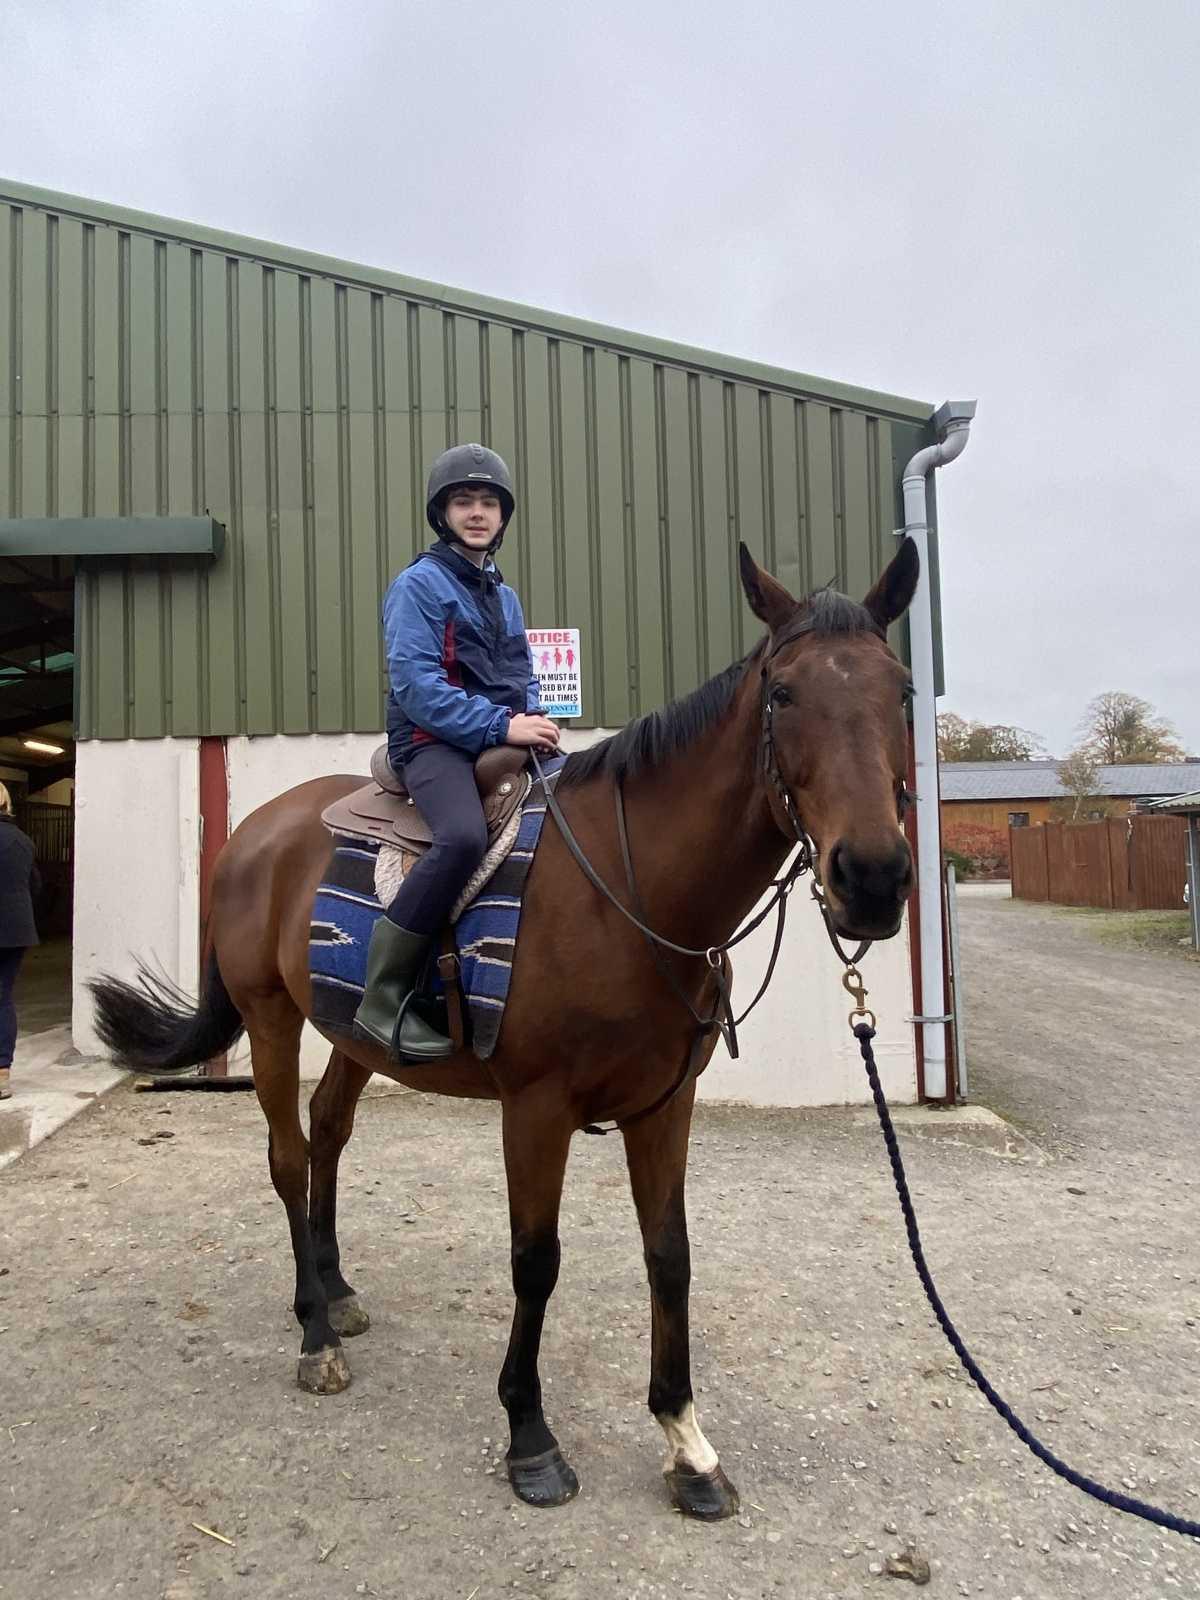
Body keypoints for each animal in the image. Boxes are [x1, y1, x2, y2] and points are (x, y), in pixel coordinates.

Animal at [91, 537, 919, 1522]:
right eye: (783, 693)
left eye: (902, 688)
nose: (874, 877)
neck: (631, 888)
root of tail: (254, 830)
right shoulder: (536, 1108)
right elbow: (536, 1260)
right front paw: (531, 1437)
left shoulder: (664, 1108)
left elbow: (669, 1256)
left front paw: (687, 1443)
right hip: (268, 1019)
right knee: (289, 1157)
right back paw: (313, 1334)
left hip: (353, 1035)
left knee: (329, 1132)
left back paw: (337, 1291)